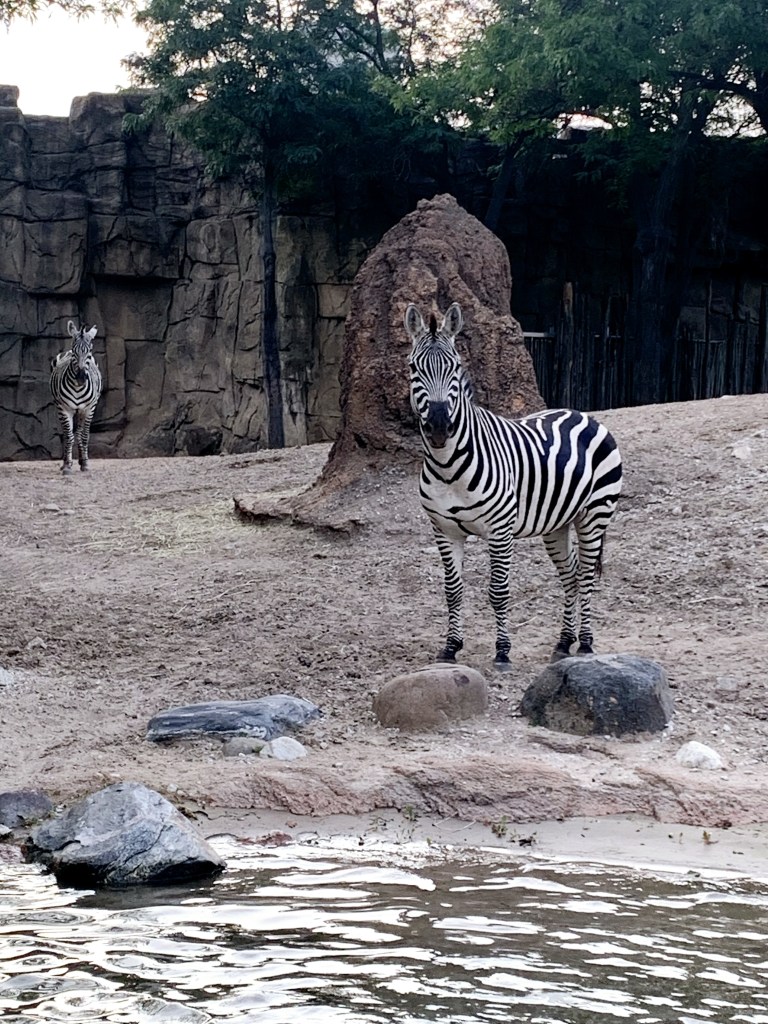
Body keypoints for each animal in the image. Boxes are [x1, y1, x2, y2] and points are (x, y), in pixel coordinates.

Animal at [50, 321, 103, 474]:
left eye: (89, 351)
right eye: (75, 351)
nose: (80, 377)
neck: (78, 388)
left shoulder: (88, 409)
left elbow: (84, 436)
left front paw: (85, 464)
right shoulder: (64, 408)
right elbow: (69, 436)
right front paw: (67, 465)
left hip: (81, 411)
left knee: (79, 434)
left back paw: (81, 460)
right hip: (60, 407)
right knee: (68, 433)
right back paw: (65, 463)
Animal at [404, 301, 622, 668]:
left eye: (456, 367)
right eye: (413, 368)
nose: (438, 426)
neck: (448, 467)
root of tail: (582, 414)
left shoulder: (499, 529)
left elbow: (499, 591)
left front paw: (503, 651)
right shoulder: (444, 530)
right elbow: (452, 590)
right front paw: (450, 647)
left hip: (595, 514)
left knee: (586, 576)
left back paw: (586, 644)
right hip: (557, 524)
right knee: (571, 575)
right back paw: (564, 642)